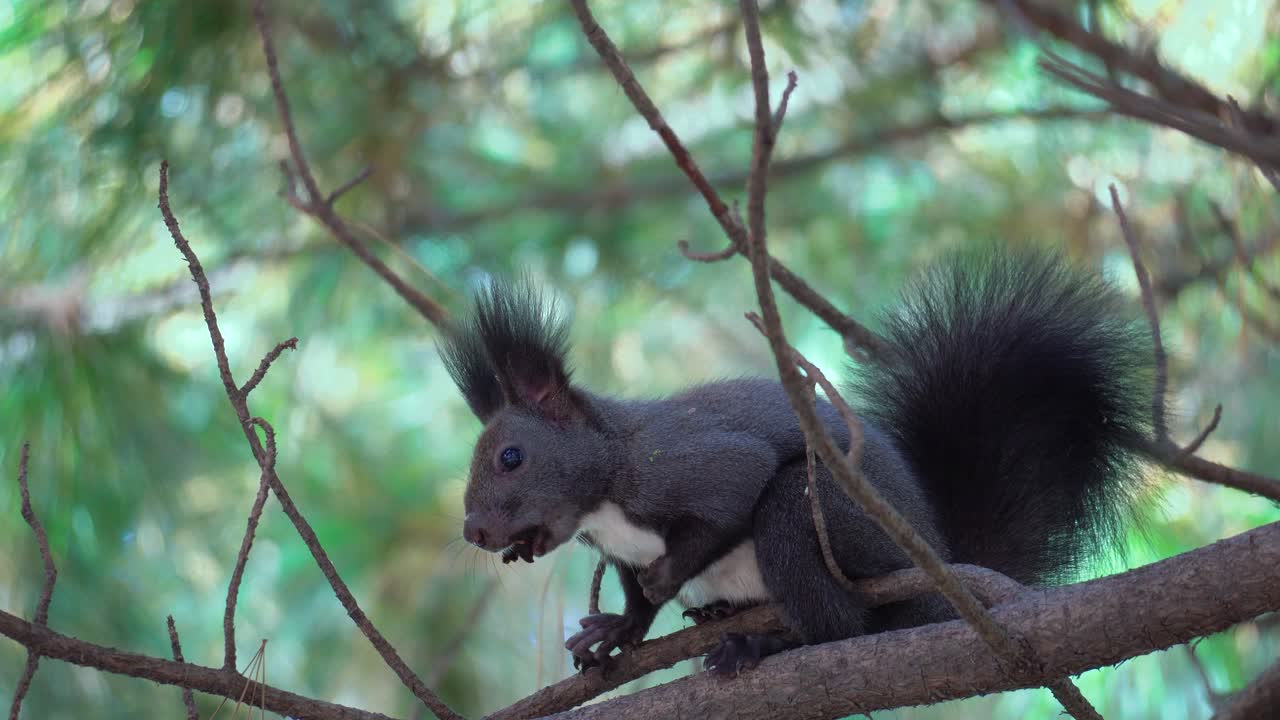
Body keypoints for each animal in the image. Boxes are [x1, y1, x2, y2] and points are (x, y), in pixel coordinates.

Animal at [442, 250, 1156, 674]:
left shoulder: (682, 465)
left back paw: (760, 642)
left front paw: (666, 578)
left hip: (816, 517)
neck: (604, 497)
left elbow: (731, 495)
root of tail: (933, 565)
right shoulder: (615, 547)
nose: (474, 531)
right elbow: (632, 593)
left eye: (511, 457)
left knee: (840, 625)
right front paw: (620, 626)